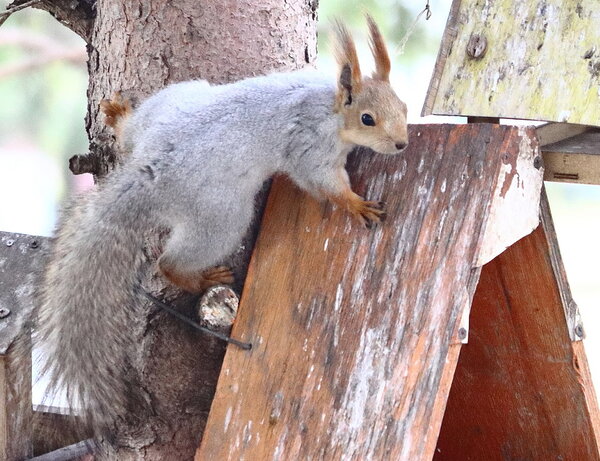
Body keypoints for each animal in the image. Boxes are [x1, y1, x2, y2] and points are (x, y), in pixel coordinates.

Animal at [31, 16, 408, 442]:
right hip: (224, 216)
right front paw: (355, 204)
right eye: (367, 119)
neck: (329, 106)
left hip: (177, 99)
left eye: (404, 106)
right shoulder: (310, 147)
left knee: (131, 135)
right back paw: (197, 276)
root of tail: (150, 172)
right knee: (168, 263)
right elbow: (322, 182)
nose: (401, 143)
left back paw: (119, 116)